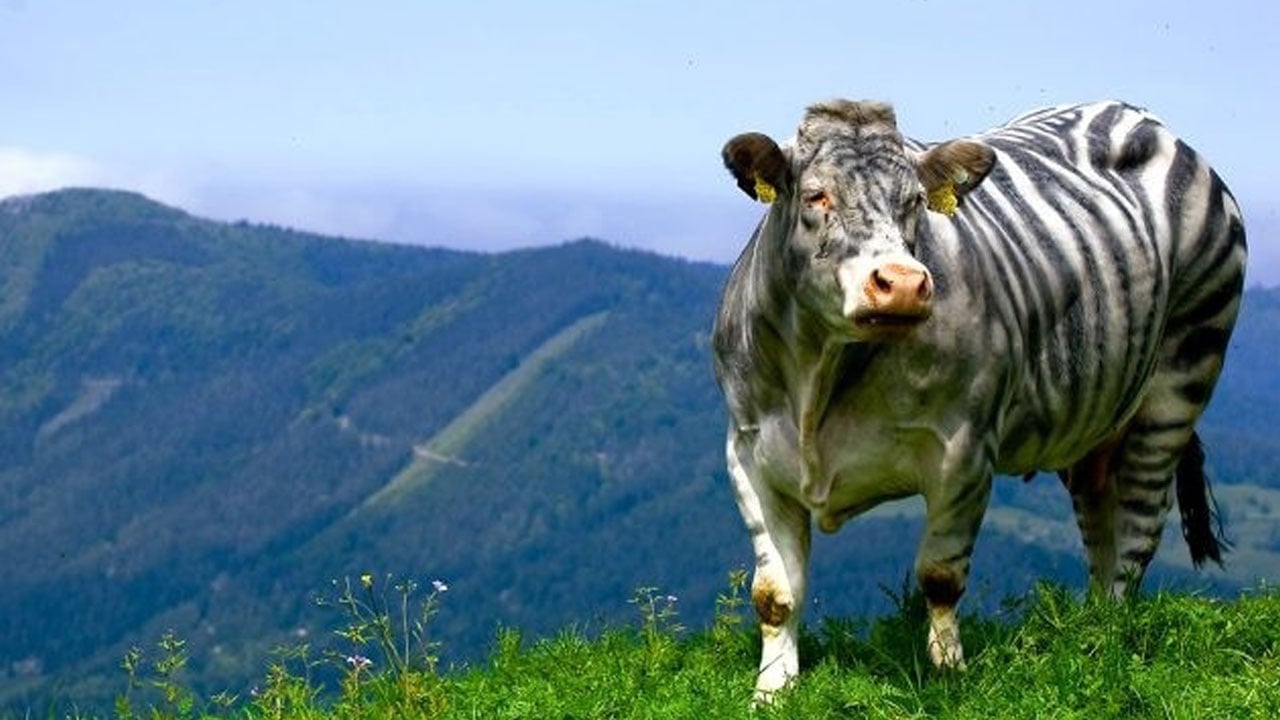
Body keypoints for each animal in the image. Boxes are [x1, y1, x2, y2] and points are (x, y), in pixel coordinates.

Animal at [713, 99, 1246, 701]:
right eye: (816, 196)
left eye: (916, 202)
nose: (901, 284)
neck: (819, 380)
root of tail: (1136, 116)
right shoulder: (748, 453)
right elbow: (775, 593)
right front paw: (772, 691)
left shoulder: (964, 451)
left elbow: (940, 578)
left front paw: (949, 677)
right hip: (1093, 421)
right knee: (1099, 519)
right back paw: (1092, 630)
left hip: (1183, 375)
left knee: (1140, 524)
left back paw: (1112, 640)